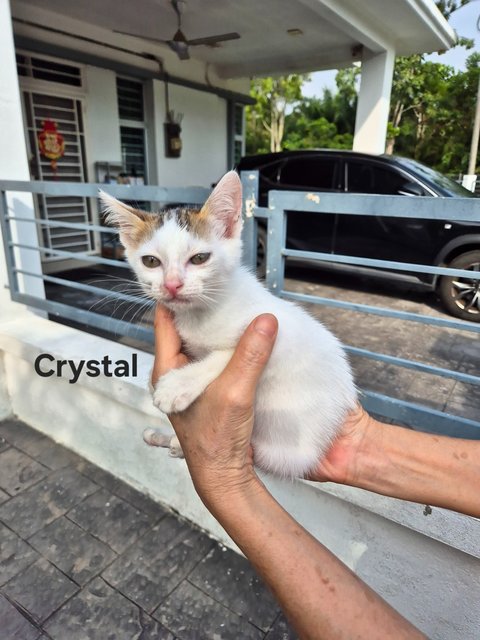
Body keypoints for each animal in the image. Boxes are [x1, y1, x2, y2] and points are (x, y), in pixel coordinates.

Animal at [101, 172, 356, 478]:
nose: (172, 285)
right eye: (150, 261)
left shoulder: (276, 329)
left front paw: (177, 385)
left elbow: (225, 354)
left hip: (284, 447)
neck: (202, 313)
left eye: (200, 258)